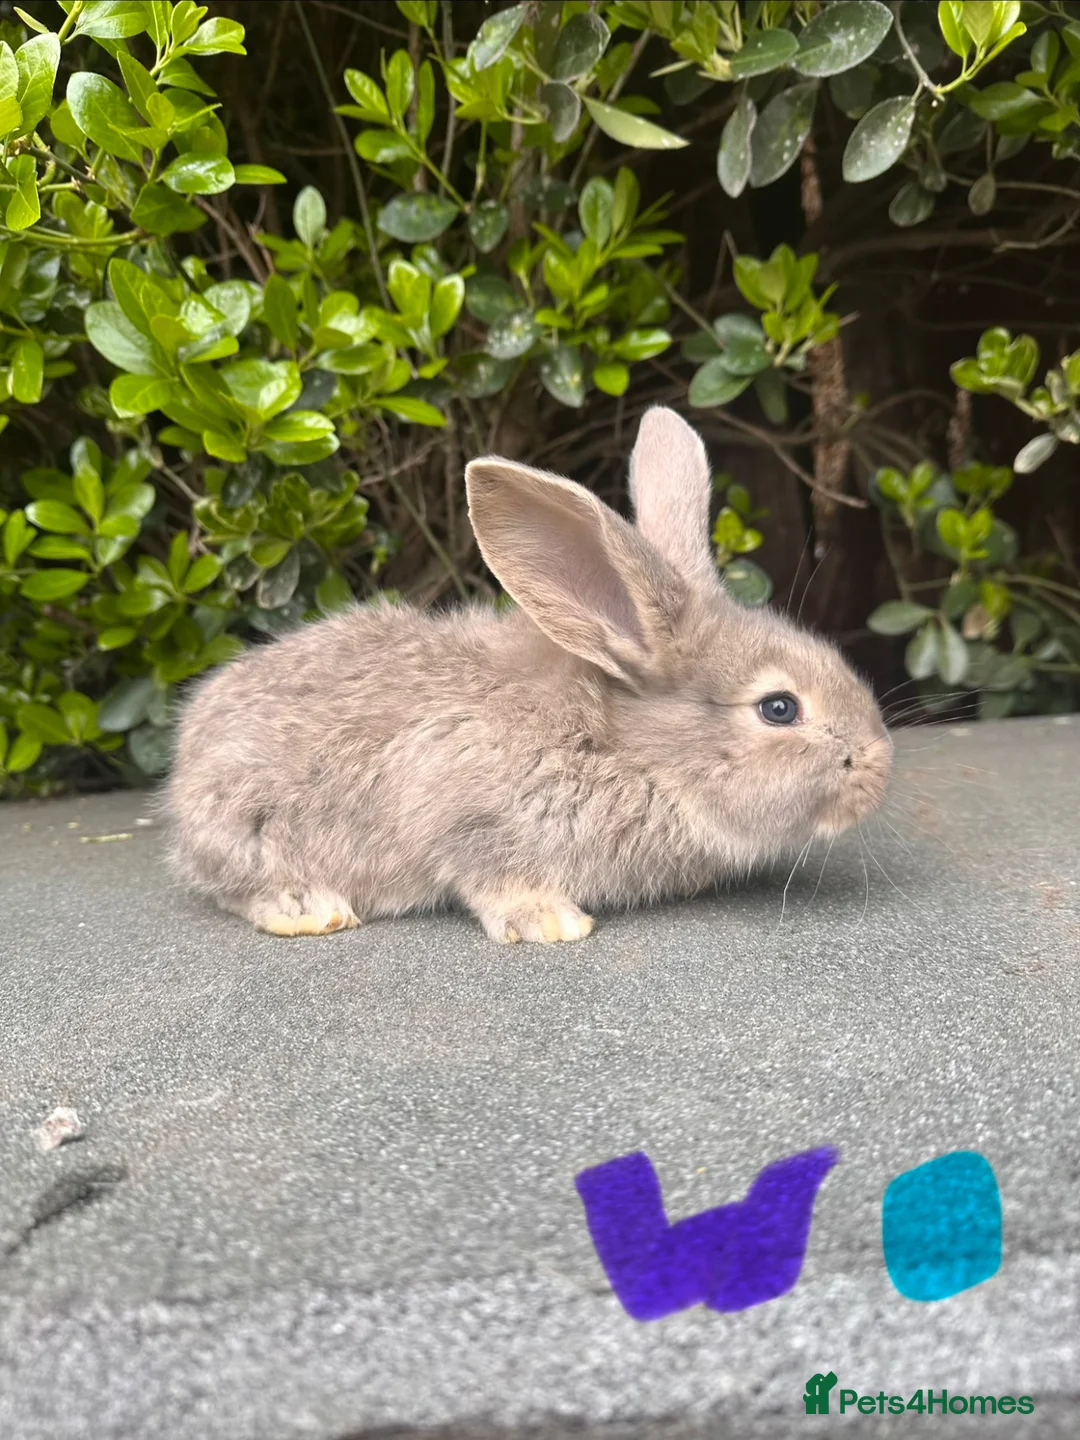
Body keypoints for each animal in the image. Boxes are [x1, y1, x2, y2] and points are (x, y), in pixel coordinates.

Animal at [166, 406, 892, 942]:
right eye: (779, 708)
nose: (879, 764)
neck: (629, 750)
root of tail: (186, 761)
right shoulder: (471, 814)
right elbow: (491, 875)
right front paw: (552, 922)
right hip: (251, 824)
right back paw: (311, 909)